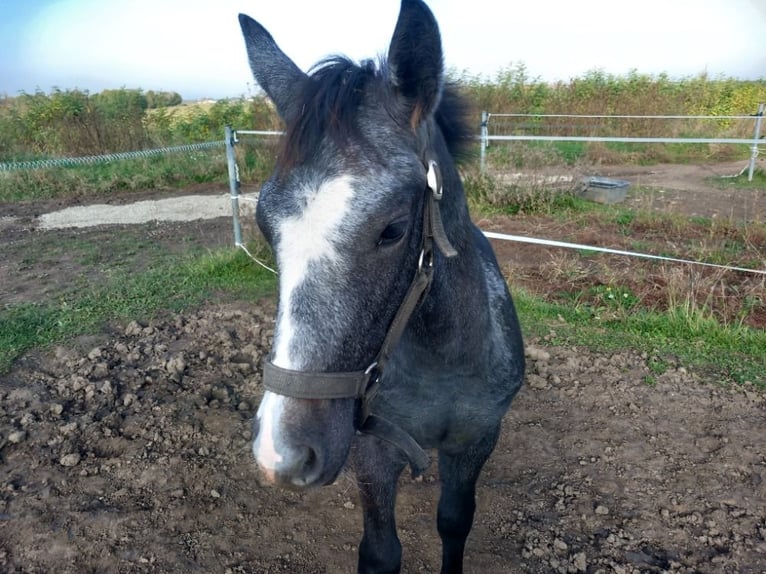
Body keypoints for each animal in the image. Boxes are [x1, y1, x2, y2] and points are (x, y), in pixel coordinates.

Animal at [240, 2, 528, 572]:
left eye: (392, 230)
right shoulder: (373, 452)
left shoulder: (475, 442)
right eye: (265, 224)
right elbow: (379, 551)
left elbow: (454, 522)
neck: (443, 360)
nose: (281, 454)